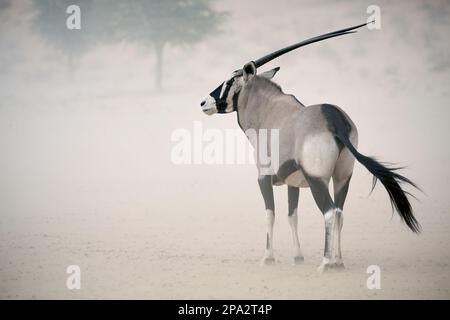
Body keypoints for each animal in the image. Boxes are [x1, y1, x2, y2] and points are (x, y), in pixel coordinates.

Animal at [199, 21, 420, 272]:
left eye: (229, 81)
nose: (204, 103)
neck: (266, 109)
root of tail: (335, 119)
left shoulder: (263, 176)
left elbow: (270, 214)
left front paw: (268, 257)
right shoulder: (292, 181)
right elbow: (292, 215)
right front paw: (298, 256)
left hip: (317, 180)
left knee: (330, 212)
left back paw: (325, 262)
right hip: (342, 177)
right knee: (340, 212)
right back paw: (338, 261)